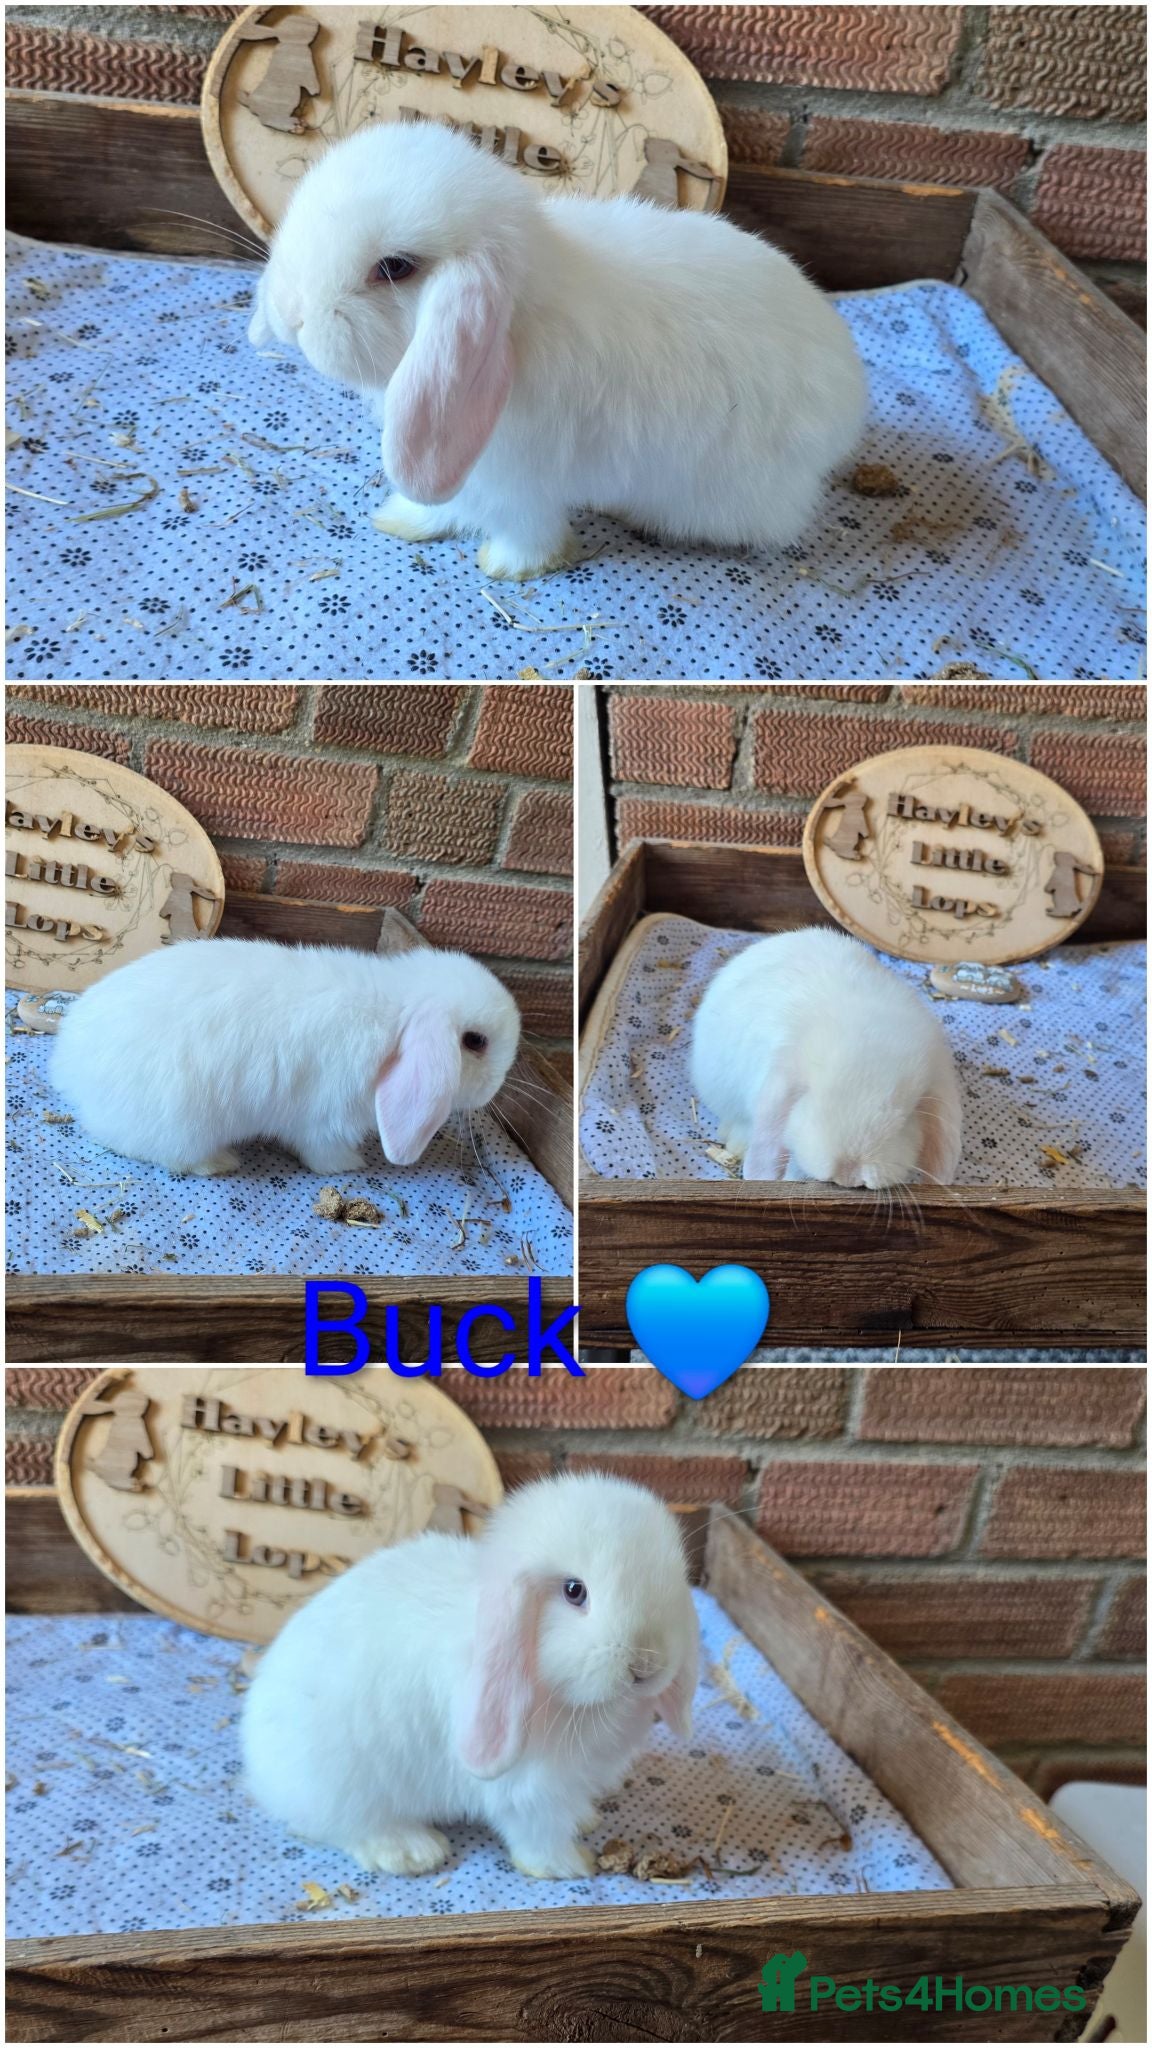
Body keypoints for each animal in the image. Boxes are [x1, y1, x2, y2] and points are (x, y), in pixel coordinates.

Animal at [49, 937, 520, 1176]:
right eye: (475, 1041)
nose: (496, 1088)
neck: (393, 1020)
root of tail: (68, 1064)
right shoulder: (325, 1122)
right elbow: (323, 1154)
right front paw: (350, 1167)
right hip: (177, 1125)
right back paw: (220, 1162)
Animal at [241, 1471, 700, 1880]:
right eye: (574, 1591)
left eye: (674, 1582)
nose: (646, 1666)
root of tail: (259, 1769)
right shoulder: (529, 1792)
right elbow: (538, 1835)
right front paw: (570, 1865)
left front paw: (586, 1819)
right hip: (343, 1786)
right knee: (344, 1827)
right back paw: (412, 1850)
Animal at [248, 120, 868, 580]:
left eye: (395, 267)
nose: (291, 316)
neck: (520, 320)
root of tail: (848, 402)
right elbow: (441, 506)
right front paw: (403, 522)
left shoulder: (519, 482)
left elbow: (526, 531)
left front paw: (508, 566)